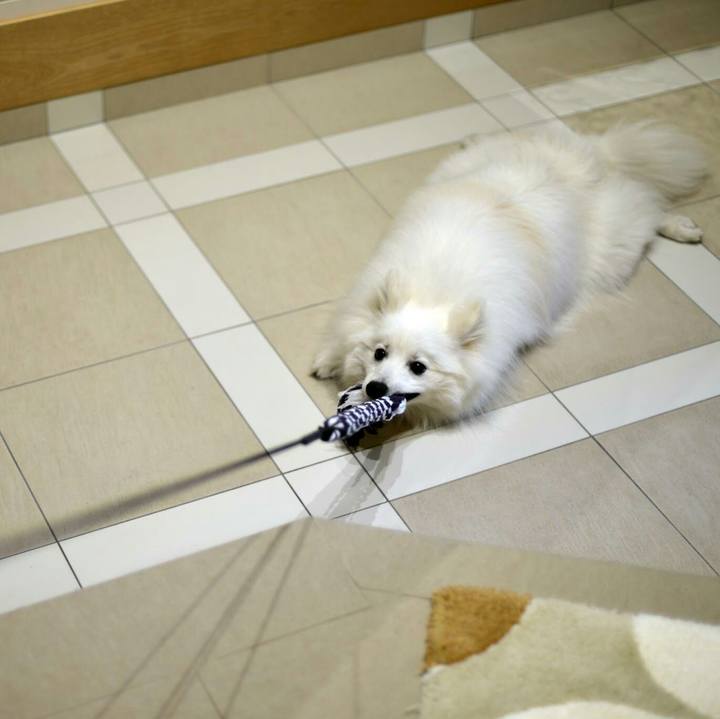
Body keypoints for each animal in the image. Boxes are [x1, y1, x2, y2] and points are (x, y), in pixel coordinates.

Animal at [312, 122, 706, 426]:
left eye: (418, 367)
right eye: (379, 353)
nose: (375, 388)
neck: (435, 292)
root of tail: (592, 159)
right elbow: (343, 335)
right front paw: (328, 360)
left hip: (615, 249)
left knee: (650, 205)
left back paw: (683, 227)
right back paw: (473, 136)